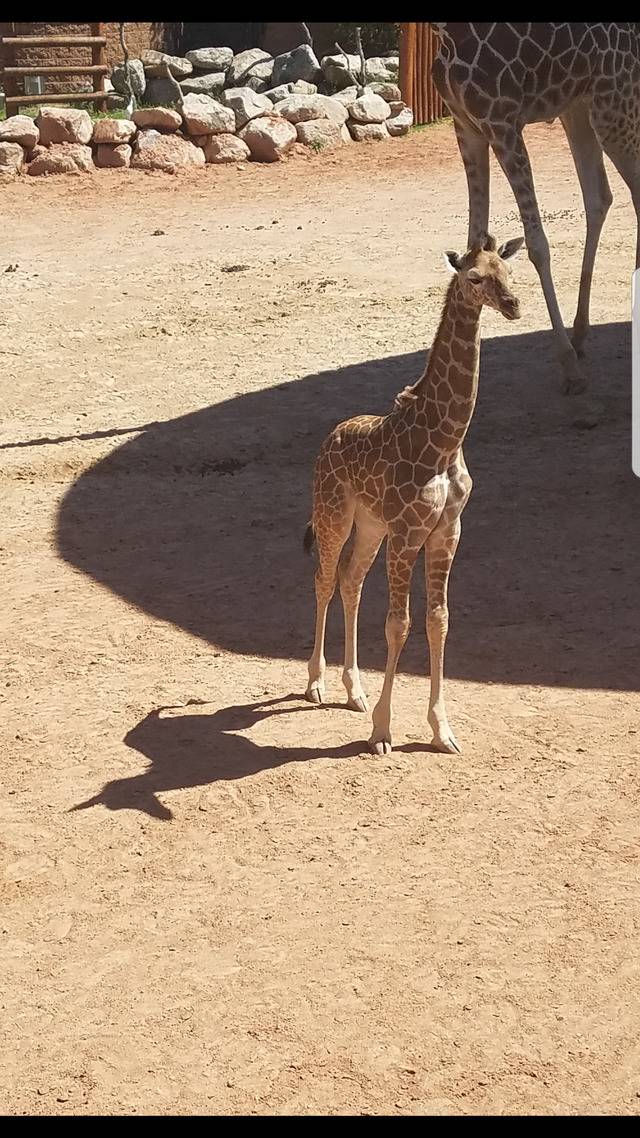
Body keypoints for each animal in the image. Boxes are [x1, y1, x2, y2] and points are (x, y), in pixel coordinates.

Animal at [303, 233, 523, 755]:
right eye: (474, 277)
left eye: (508, 271)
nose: (513, 305)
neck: (444, 441)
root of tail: (329, 438)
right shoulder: (408, 532)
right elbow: (398, 624)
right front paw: (382, 731)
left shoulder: (447, 530)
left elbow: (438, 619)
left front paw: (442, 730)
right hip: (333, 514)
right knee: (325, 579)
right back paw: (316, 683)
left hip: (369, 526)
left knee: (351, 581)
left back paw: (355, 690)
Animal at [429, 22, 640, 401]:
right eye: (477, 279)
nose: (511, 307)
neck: (446, 32)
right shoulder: (466, 124)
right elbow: (474, 236)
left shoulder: (503, 123)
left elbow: (537, 245)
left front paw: (570, 370)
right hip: (580, 108)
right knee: (599, 197)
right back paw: (580, 333)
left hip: (615, 105)